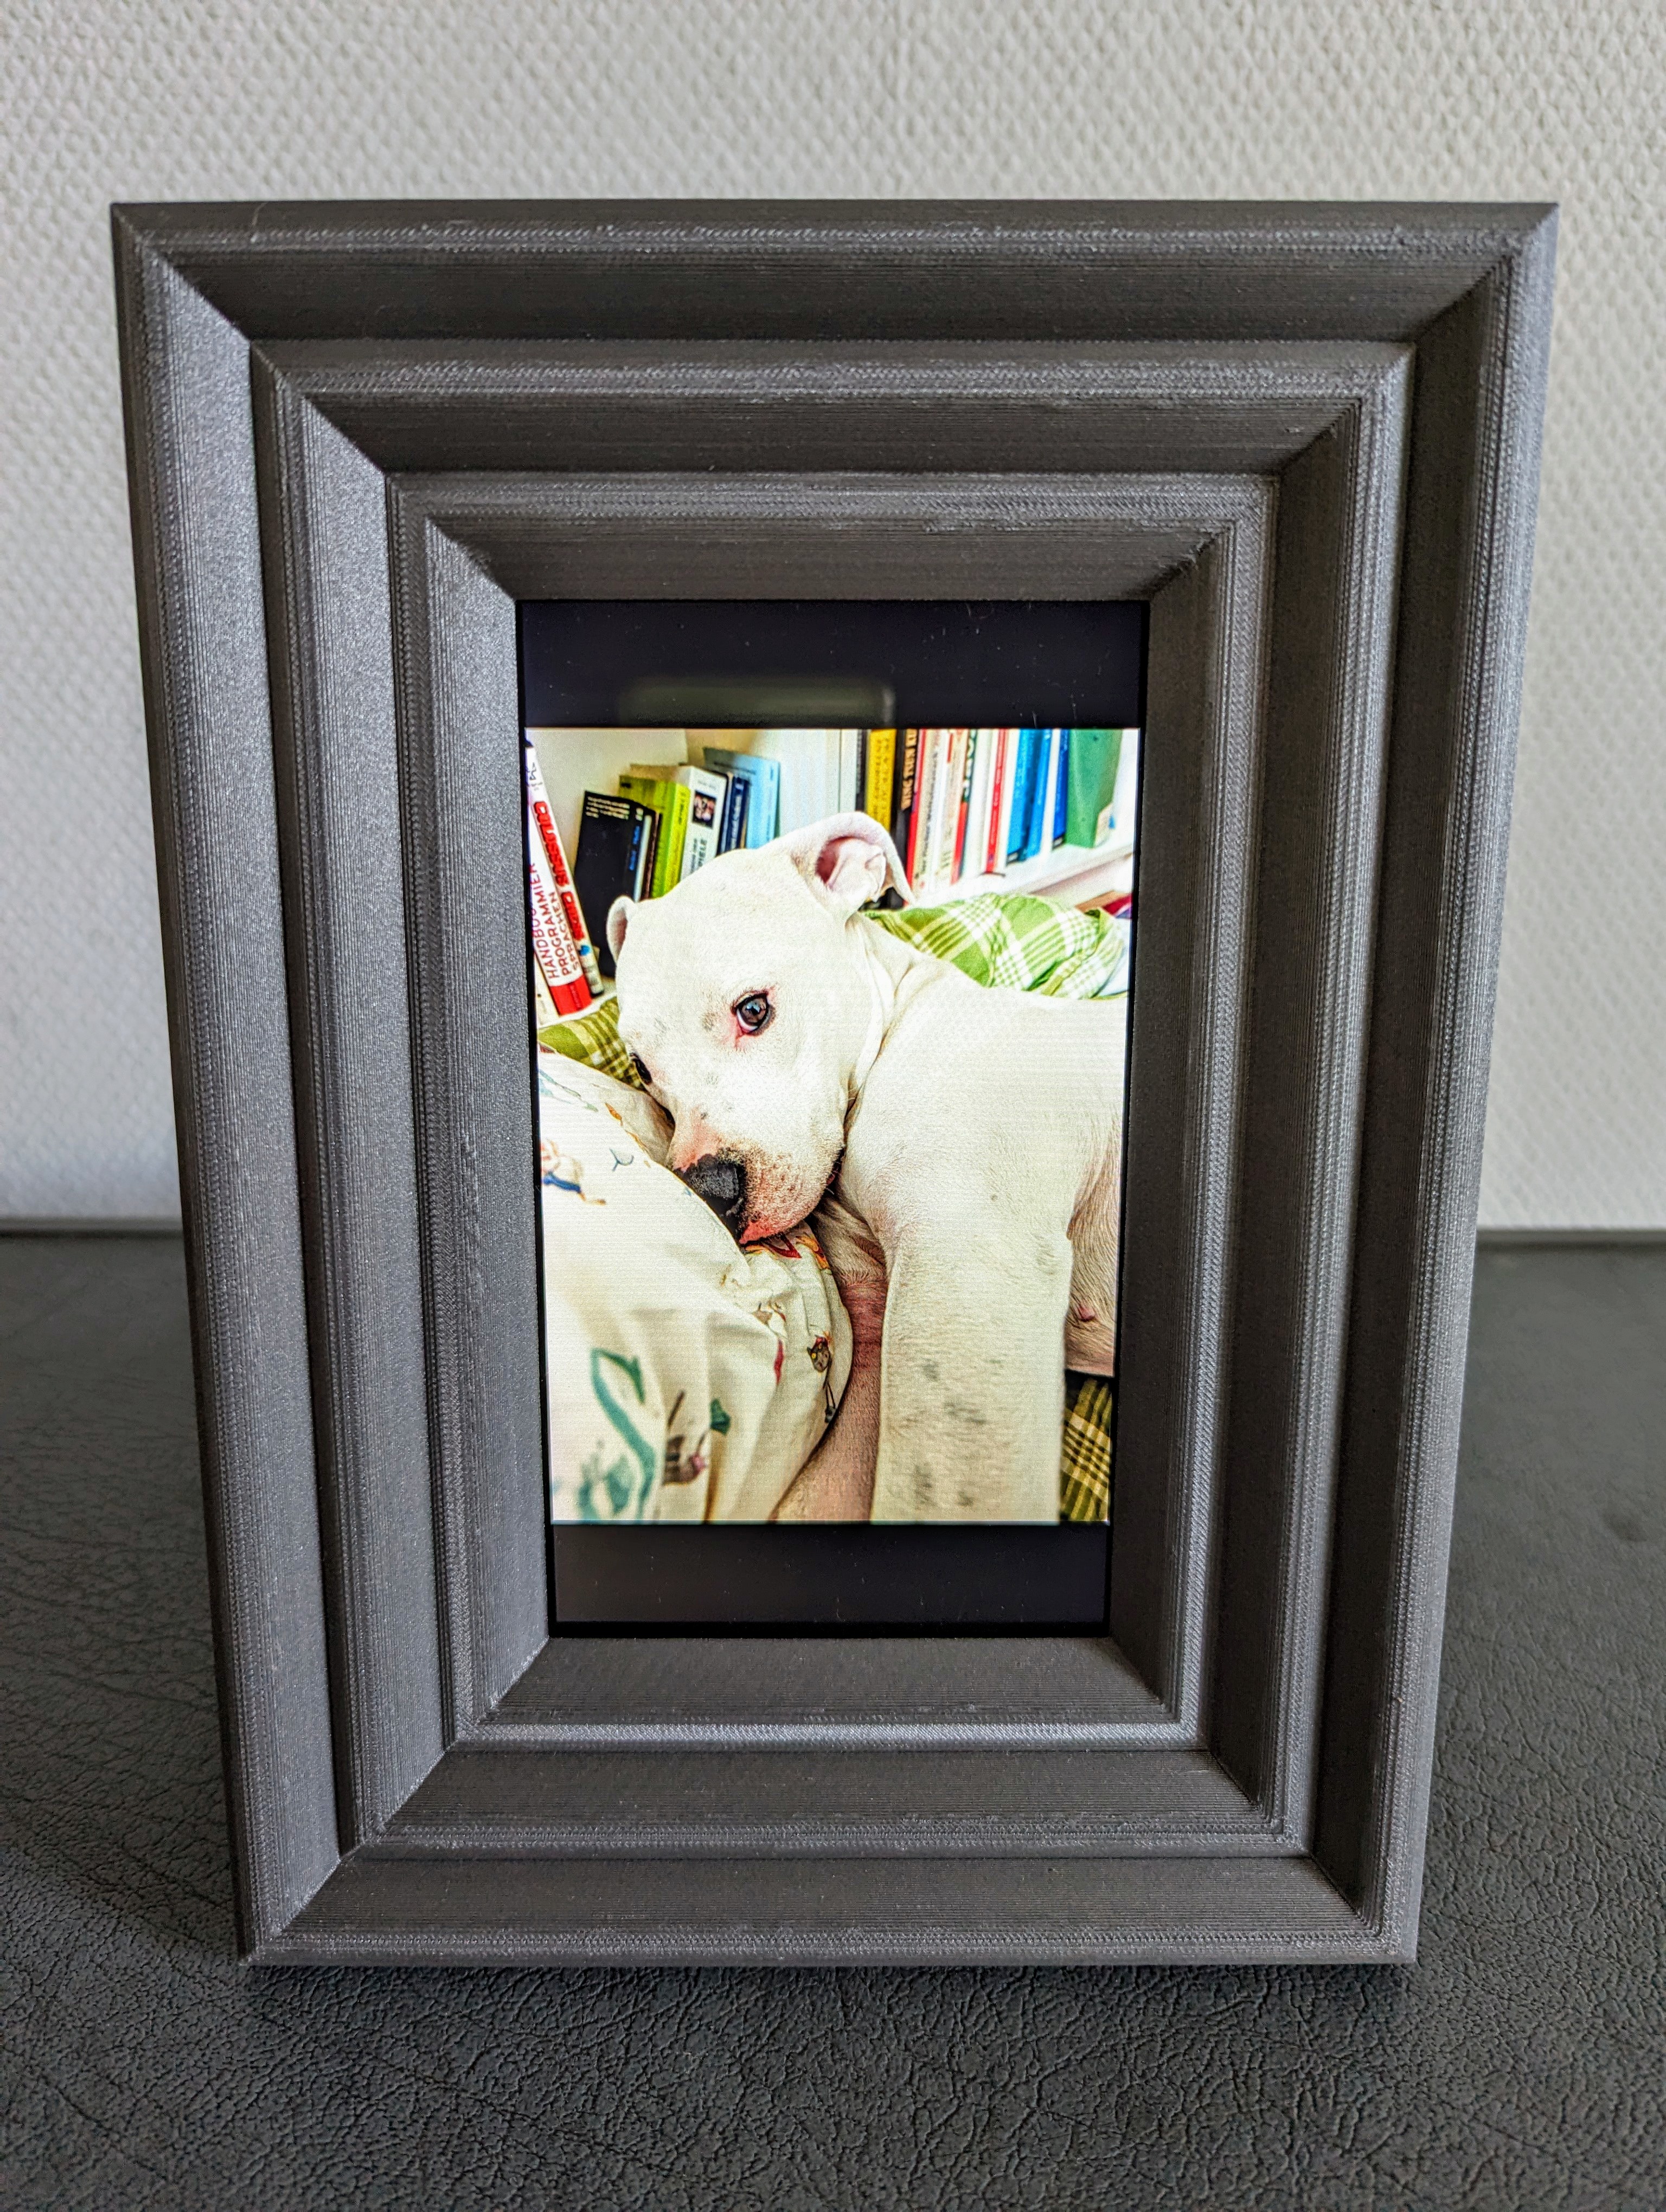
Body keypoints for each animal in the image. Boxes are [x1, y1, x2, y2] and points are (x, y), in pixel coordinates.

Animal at [606, 814, 1124, 1522]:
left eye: (754, 1010)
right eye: (641, 1069)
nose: (709, 1194)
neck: (897, 1028)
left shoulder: (964, 1278)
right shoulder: (879, 1343)